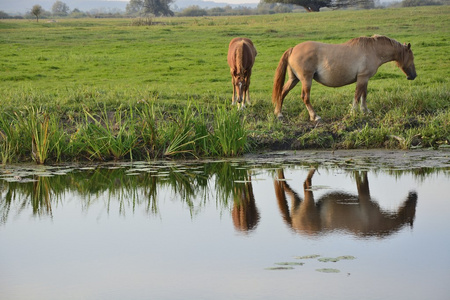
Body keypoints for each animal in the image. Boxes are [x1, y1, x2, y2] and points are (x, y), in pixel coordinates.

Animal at [272, 34, 416, 120]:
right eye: (412, 57)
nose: (413, 76)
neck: (373, 50)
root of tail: (293, 49)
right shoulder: (362, 78)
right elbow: (357, 95)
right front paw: (354, 112)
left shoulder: (365, 79)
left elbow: (364, 95)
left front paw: (365, 110)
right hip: (306, 80)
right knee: (305, 97)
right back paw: (315, 116)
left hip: (294, 79)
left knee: (282, 92)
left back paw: (279, 113)